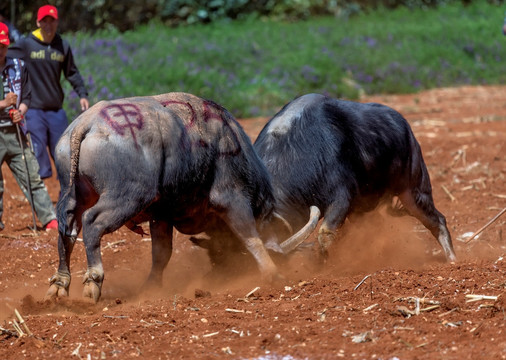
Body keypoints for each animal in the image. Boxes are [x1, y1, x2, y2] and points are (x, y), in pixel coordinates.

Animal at [44, 93, 316, 304]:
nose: (219, 274)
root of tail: (87, 123)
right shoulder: (233, 199)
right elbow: (250, 236)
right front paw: (273, 273)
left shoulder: (161, 216)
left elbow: (161, 254)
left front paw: (152, 286)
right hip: (126, 198)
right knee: (92, 223)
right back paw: (93, 280)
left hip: (75, 195)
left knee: (68, 230)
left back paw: (60, 285)